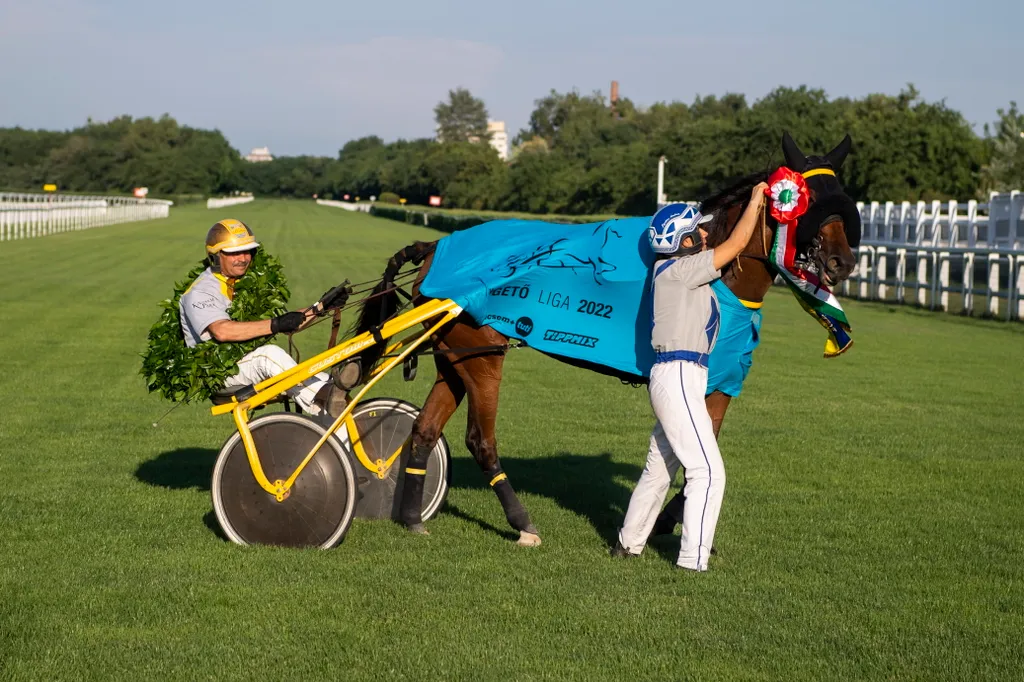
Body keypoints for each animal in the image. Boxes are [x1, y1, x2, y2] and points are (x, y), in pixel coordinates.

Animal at [352, 134, 864, 548]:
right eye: (808, 202)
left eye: (843, 199)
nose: (842, 262)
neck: (719, 274)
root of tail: (435, 247)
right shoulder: (703, 377)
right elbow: (697, 455)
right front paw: (665, 524)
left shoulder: (721, 382)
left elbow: (698, 452)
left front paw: (665, 522)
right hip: (484, 356)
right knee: (481, 440)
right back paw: (522, 523)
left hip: (455, 355)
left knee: (424, 430)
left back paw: (412, 518)